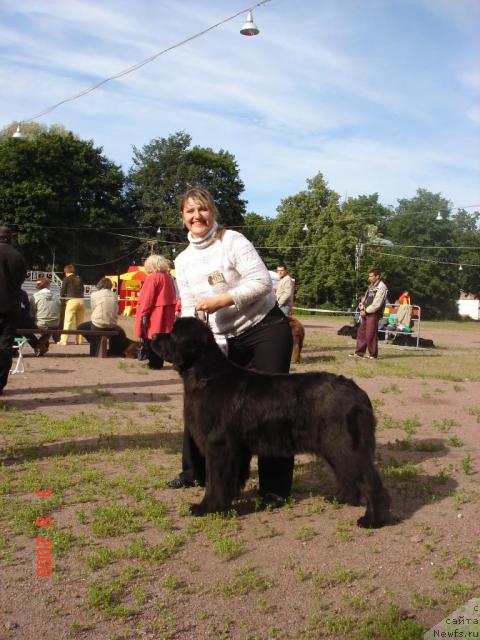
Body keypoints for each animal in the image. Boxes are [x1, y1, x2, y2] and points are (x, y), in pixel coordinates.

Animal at [153, 318, 390, 528]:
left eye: (173, 333)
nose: (154, 335)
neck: (206, 376)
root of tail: (359, 393)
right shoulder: (237, 450)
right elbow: (231, 478)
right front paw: (229, 500)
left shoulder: (218, 445)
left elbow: (215, 480)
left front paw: (207, 508)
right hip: (333, 447)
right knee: (347, 474)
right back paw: (342, 498)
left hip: (345, 445)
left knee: (371, 481)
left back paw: (372, 520)